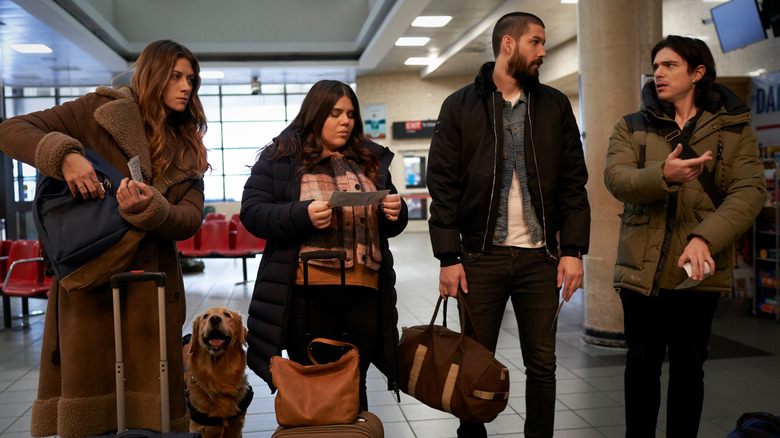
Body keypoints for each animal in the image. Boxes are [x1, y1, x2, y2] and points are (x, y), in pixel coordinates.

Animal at [185, 308, 253, 438]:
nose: (215, 318)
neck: (218, 374)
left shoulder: (235, 429)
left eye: (227, 315)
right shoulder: (198, 429)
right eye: (205, 316)